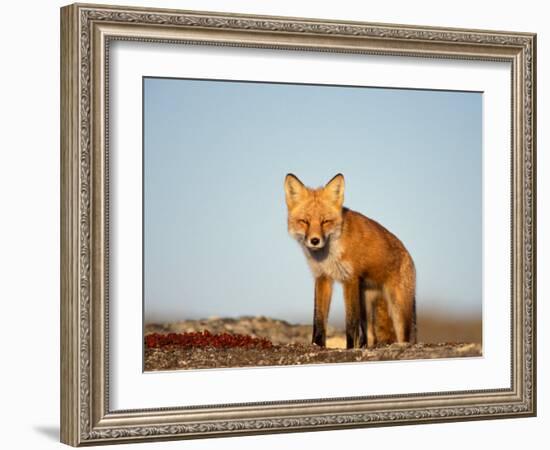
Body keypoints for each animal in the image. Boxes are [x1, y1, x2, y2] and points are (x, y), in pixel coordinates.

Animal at [284, 174, 418, 350]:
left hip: (398, 310)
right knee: (368, 337)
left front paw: (349, 348)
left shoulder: (350, 279)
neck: (329, 255)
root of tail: (407, 254)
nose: (314, 241)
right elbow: (318, 320)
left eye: (325, 221)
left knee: (404, 336)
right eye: (304, 221)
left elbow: (350, 323)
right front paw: (317, 345)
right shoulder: (323, 277)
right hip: (366, 309)